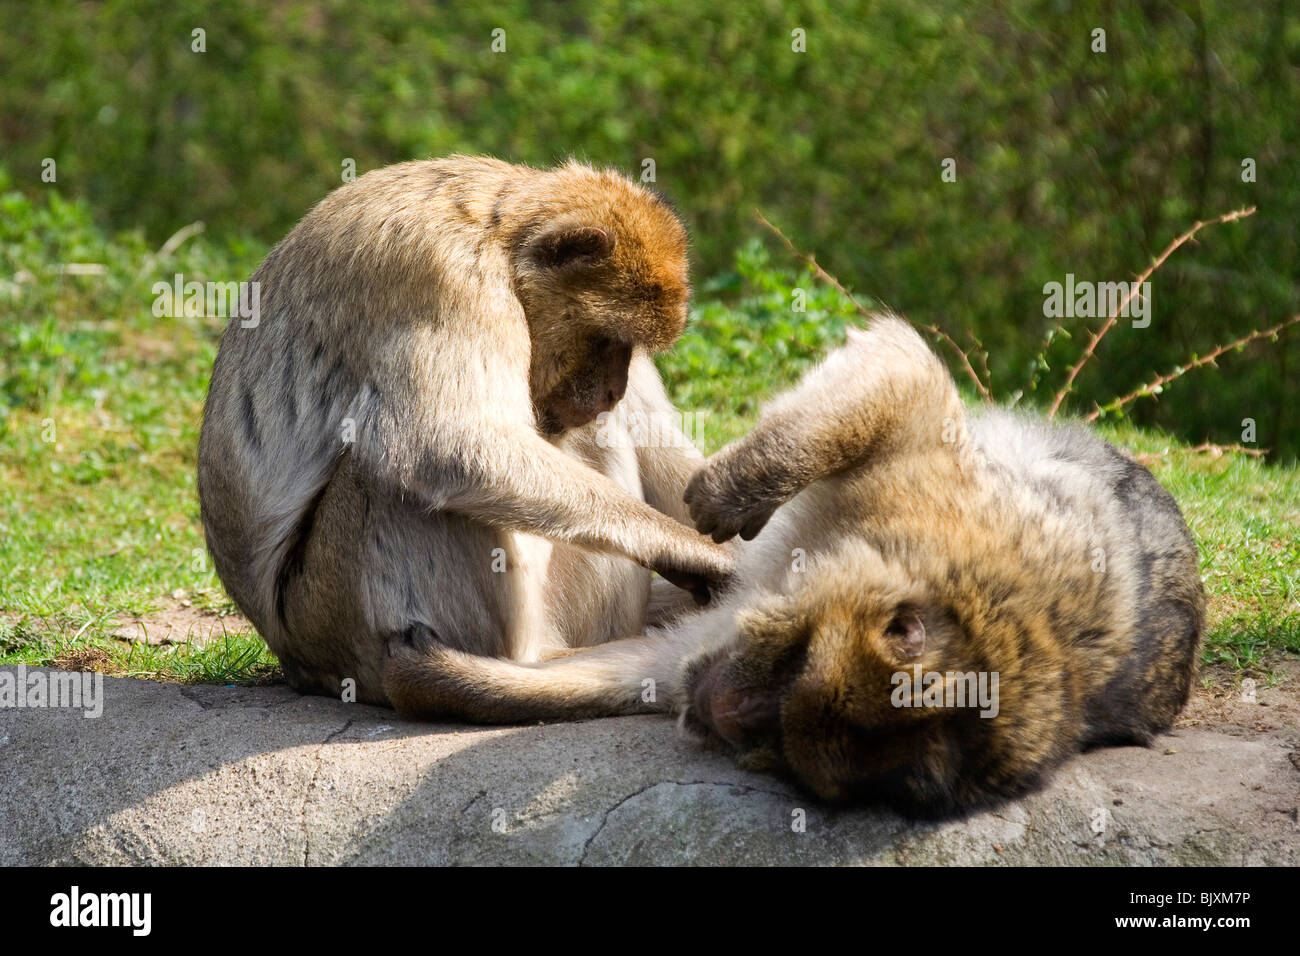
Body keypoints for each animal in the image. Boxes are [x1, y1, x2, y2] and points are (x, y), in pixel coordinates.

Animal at [384, 314, 1206, 816]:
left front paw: (446, 681)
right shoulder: (926, 496)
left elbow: (643, 671)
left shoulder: (721, 653)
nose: (717, 714)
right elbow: (905, 372)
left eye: (782, 745)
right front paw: (731, 494)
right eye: (797, 667)